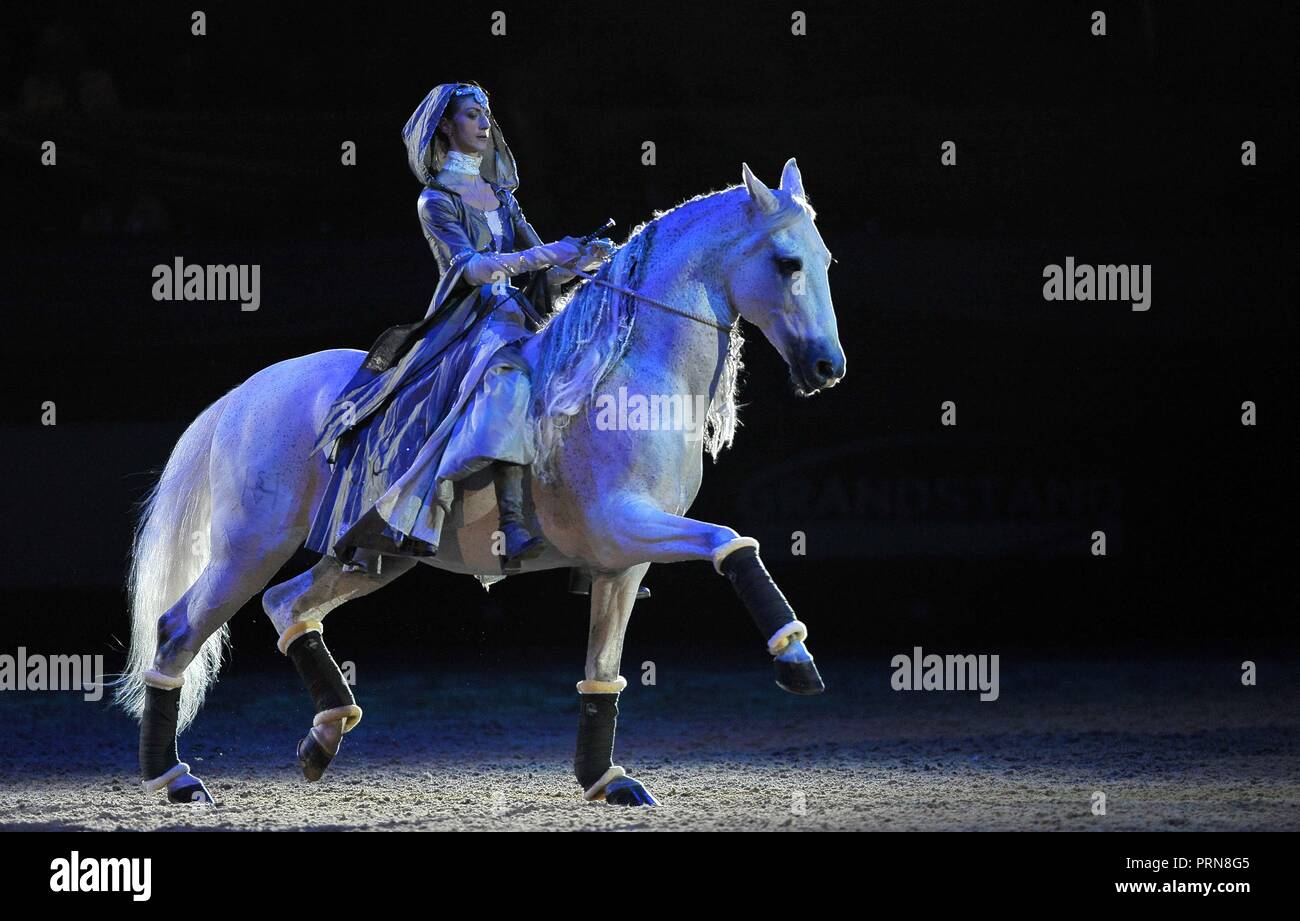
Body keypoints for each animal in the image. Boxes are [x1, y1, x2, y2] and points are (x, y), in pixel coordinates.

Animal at [116, 158, 846, 806]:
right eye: (788, 263)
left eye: (826, 261)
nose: (827, 366)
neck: (624, 373)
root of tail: (245, 392)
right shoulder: (624, 522)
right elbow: (731, 541)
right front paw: (795, 659)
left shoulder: (621, 559)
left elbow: (603, 673)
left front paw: (606, 781)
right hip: (250, 545)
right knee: (180, 628)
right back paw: (173, 779)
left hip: (372, 554)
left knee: (289, 605)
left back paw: (323, 736)